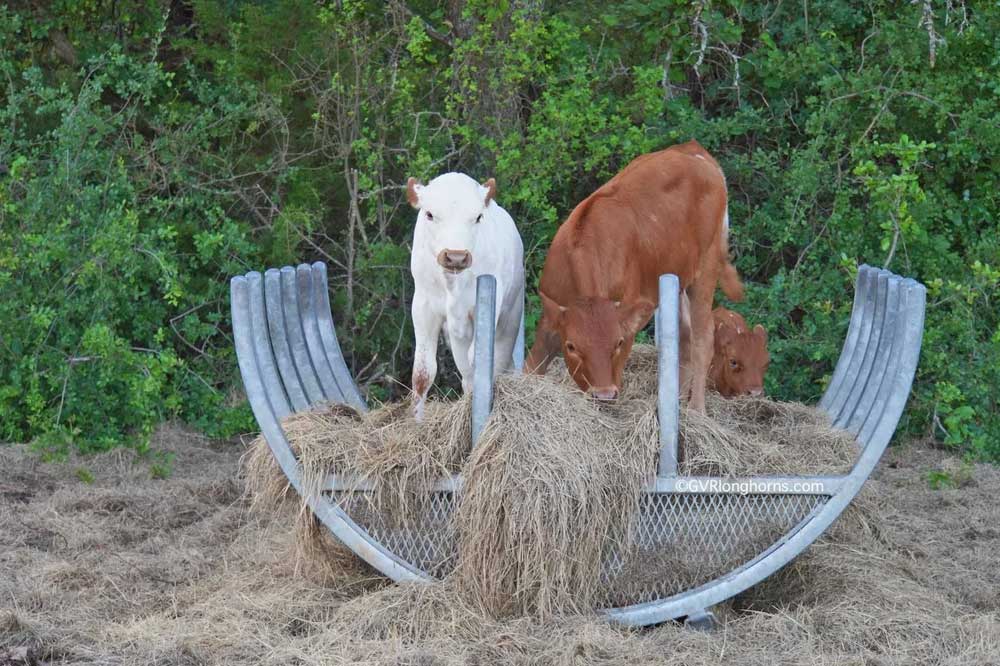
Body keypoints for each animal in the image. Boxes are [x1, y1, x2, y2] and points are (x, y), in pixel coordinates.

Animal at [408, 174, 528, 418]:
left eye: (478, 217)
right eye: (430, 214)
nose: (456, 256)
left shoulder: (485, 307)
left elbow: (480, 362)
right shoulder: (423, 307)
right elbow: (423, 372)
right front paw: (415, 422)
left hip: (510, 318)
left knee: (497, 364)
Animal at [528, 140, 740, 410]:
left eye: (617, 343)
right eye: (571, 346)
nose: (604, 394)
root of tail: (693, 149)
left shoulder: (628, 324)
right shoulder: (550, 317)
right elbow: (531, 366)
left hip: (707, 266)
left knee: (703, 338)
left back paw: (696, 410)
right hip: (677, 276)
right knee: (685, 335)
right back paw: (677, 400)